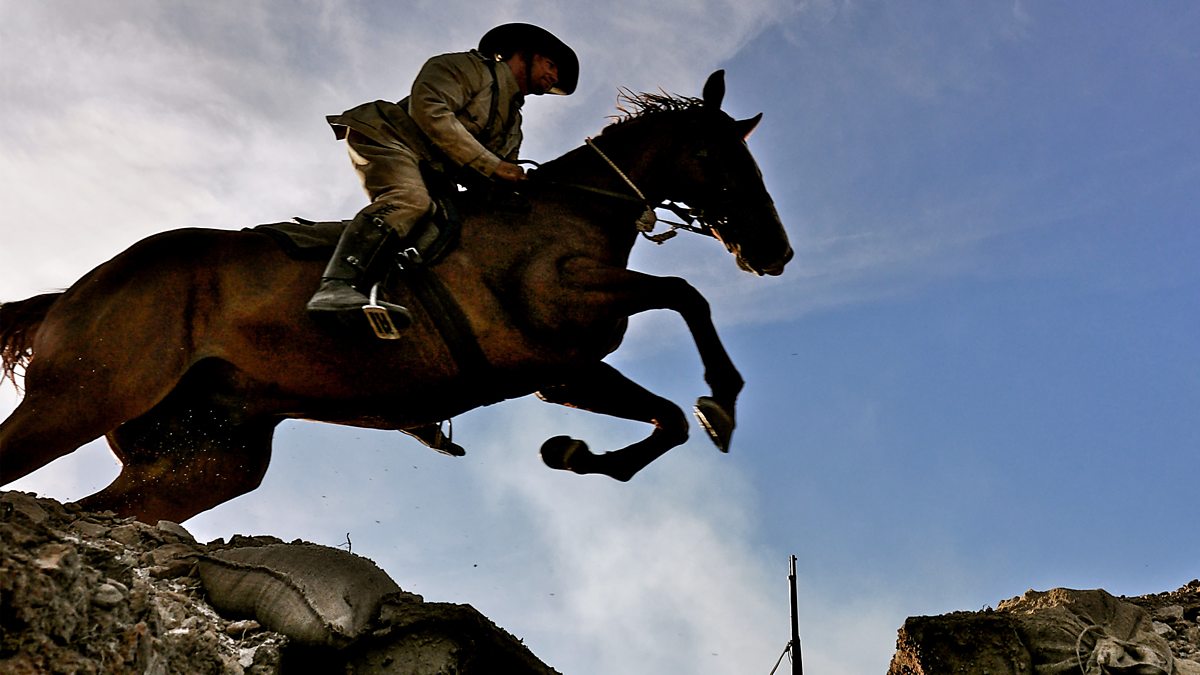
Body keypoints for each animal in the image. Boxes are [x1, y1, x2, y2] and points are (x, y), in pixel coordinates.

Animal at [0, 70, 792, 523]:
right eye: (720, 157)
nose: (774, 253)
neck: (572, 210)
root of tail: (73, 289)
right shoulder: (555, 310)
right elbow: (685, 294)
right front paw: (722, 398)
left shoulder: (563, 370)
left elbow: (668, 418)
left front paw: (574, 453)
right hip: (82, 395)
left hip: (207, 460)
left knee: (102, 510)